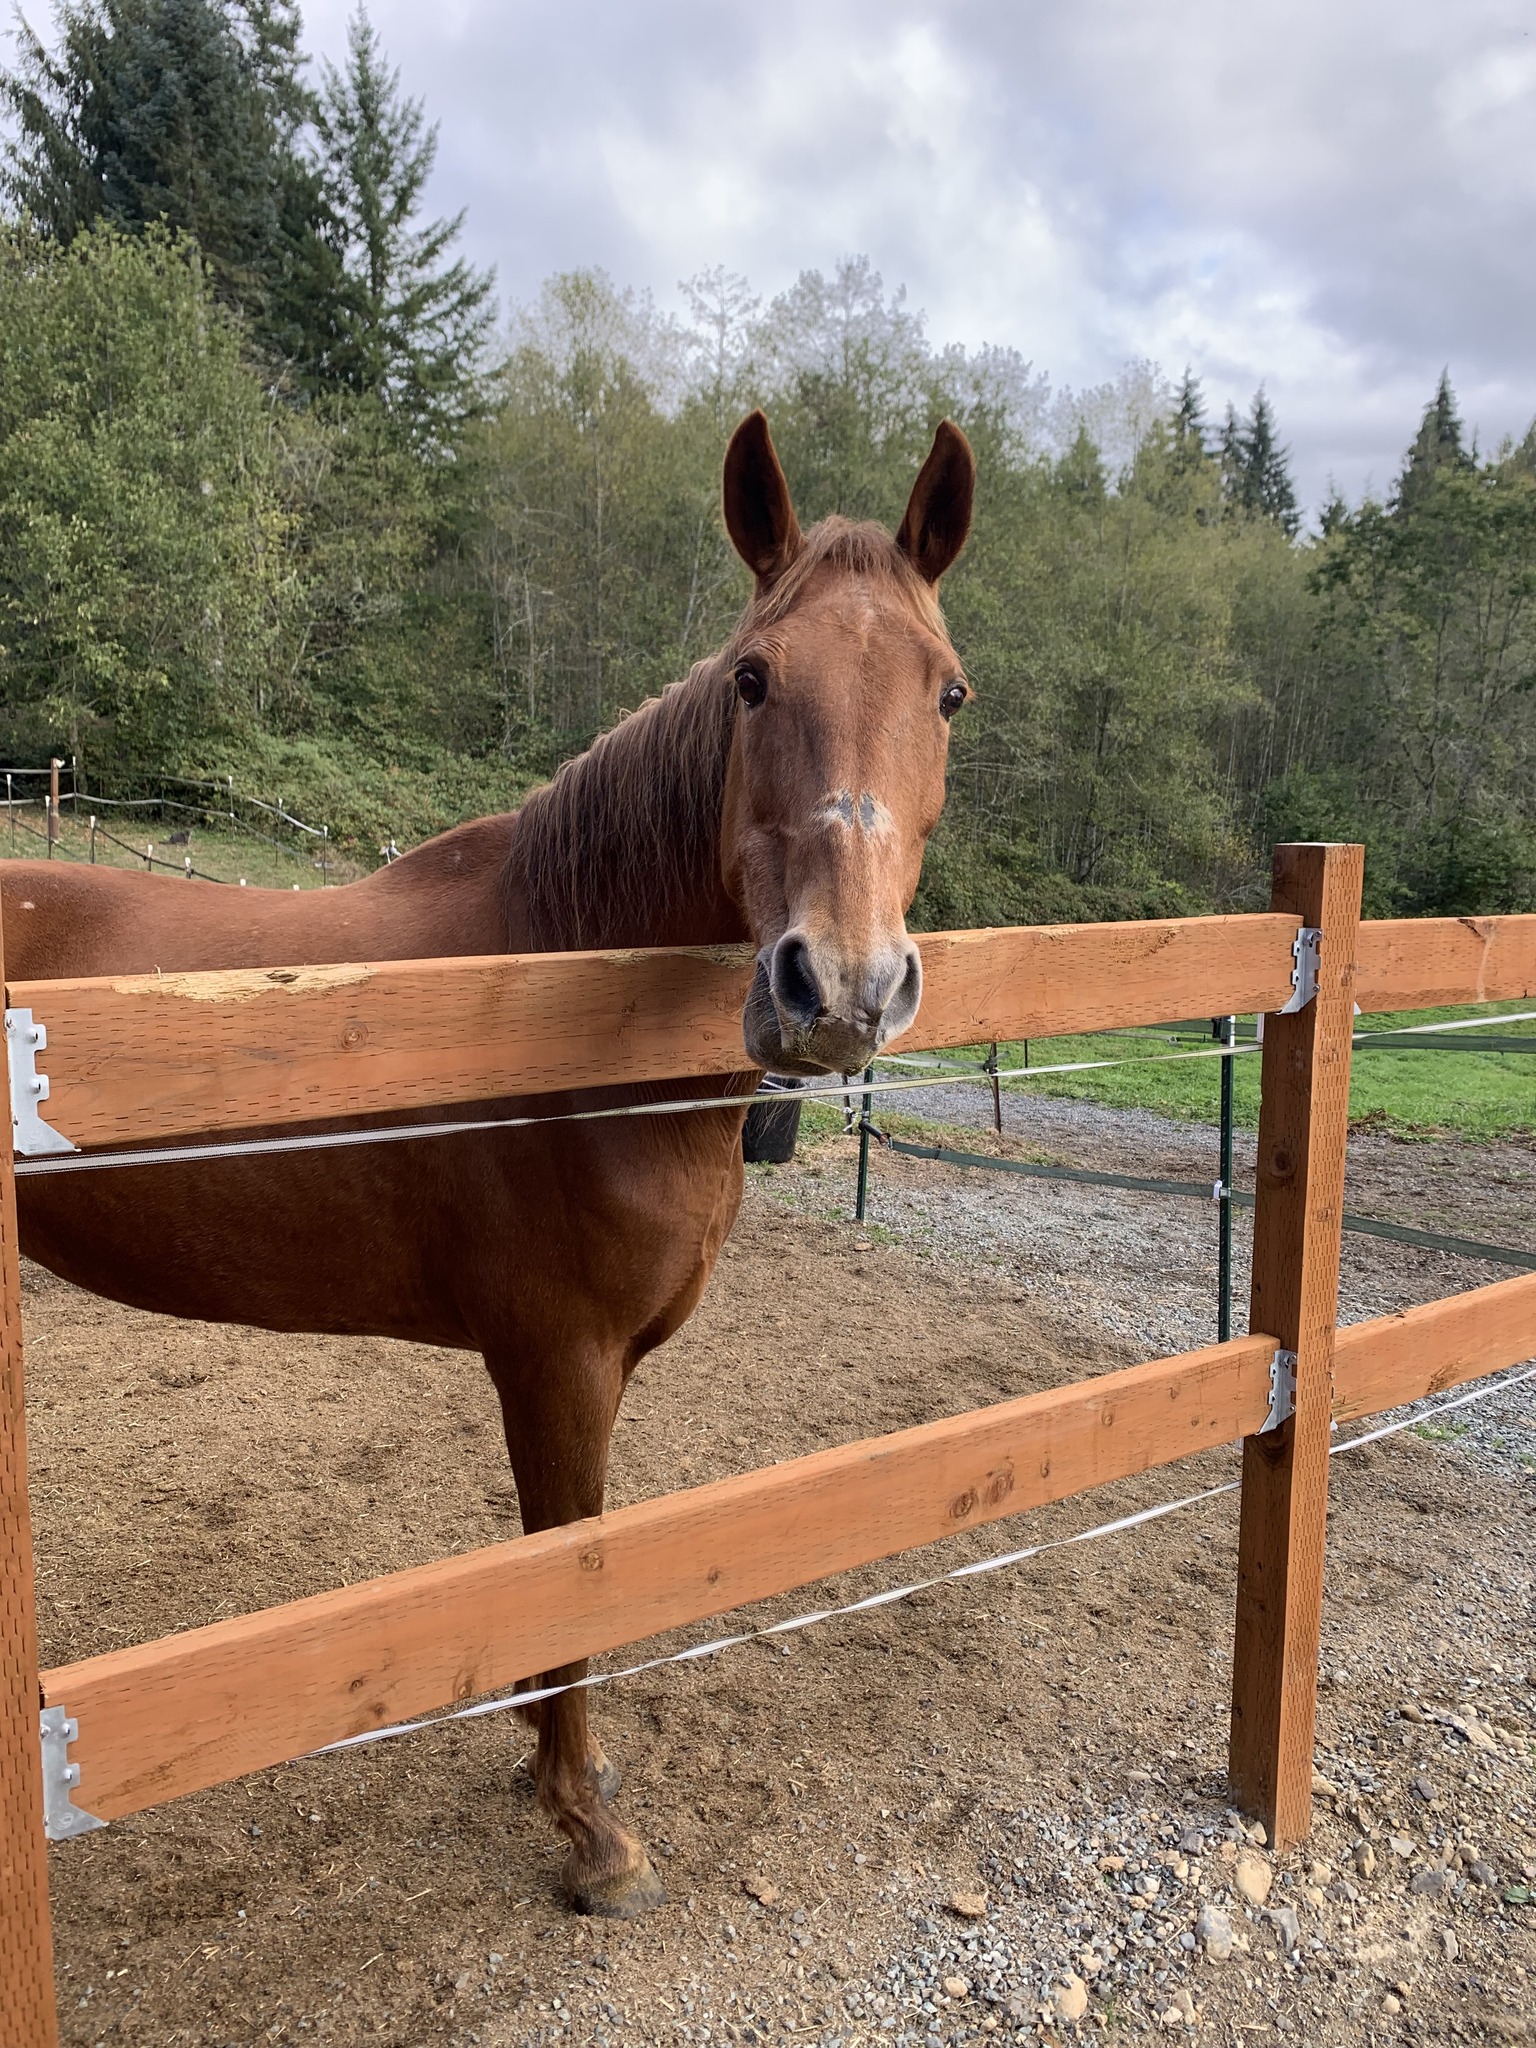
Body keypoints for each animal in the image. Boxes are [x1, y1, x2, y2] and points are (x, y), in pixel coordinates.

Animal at [3, 410, 975, 1917]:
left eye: (949, 696)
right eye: (753, 680)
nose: (841, 990)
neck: (559, 993)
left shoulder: (598, 1364)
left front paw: (555, 1768)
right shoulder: (554, 1357)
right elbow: (567, 1563)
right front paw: (591, 1833)